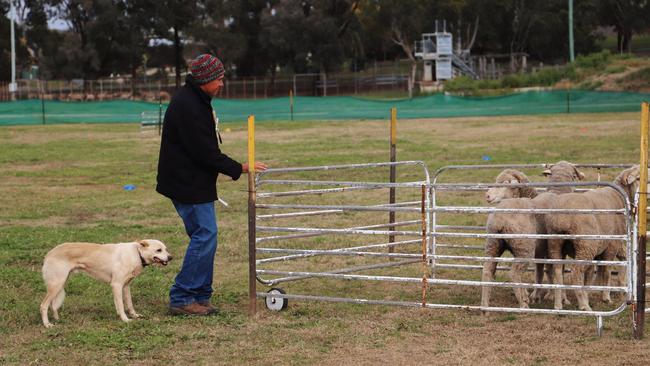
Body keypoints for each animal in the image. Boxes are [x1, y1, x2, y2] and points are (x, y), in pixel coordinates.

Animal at [480, 162, 584, 308]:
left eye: (505, 183)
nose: (487, 196)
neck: (557, 192)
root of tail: (499, 219)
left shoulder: (541, 250)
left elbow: (541, 271)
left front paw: (540, 295)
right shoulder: (555, 249)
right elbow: (557, 271)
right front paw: (561, 298)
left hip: (493, 244)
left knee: (487, 270)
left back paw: (485, 305)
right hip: (524, 247)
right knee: (514, 273)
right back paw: (523, 304)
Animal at [540, 166, 636, 312]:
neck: (619, 196)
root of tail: (562, 217)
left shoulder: (601, 248)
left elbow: (592, 273)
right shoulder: (612, 245)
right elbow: (607, 271)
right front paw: (606, 297)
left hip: (557, 243)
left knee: (557, 270)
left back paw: (558, 305)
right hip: (585, 245)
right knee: (575, 271)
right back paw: (584, 305)